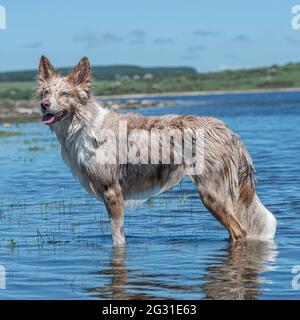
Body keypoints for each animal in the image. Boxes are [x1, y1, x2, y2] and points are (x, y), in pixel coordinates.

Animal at [37, 55, 276, 245]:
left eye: (65, 93)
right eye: (45, 93)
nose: (44, 105)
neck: (81, 125)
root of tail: (228, 131)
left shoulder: (112, 192)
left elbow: (118, 238)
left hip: (211, 193)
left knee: (240, 233)